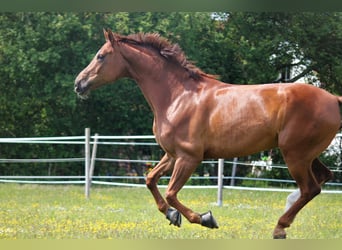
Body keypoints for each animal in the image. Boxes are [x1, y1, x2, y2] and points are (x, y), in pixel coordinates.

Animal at [73, 29, 340, 238]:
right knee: (321, 179)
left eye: (101, 56)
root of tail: (334, 100)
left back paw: (280, 226)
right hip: (304, 155)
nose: (79, 84)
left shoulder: (189, 157)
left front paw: (204, 218)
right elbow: (150, 180)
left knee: (311, 188)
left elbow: (171, 193)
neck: (177, 96)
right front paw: (172, 215)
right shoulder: (172, 155)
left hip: (294, 154)